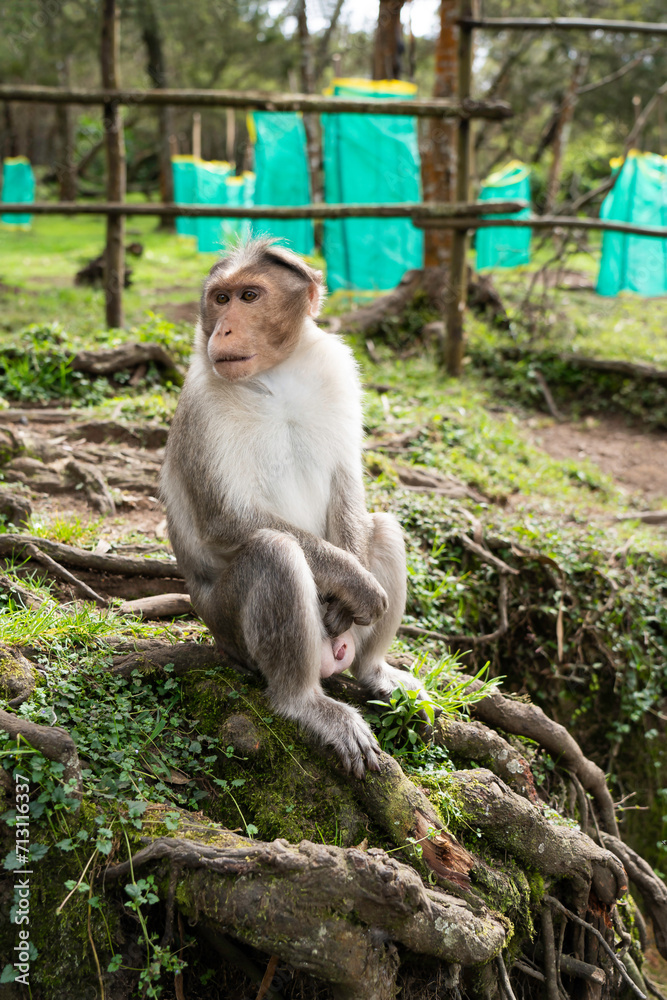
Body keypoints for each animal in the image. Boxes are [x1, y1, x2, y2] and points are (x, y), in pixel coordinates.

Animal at [160, 238, 430, 776]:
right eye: (220, 299)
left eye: (249, 296)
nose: (223, 329)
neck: (275, 377)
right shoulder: (201, 404)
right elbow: (227, 519)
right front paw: (355, 585)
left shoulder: (337, 368)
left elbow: (347, 485)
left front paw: (349, 594)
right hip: (229, 630)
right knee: (274, 551)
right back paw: (304, 702)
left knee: (384, 527)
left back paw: (373, 671)